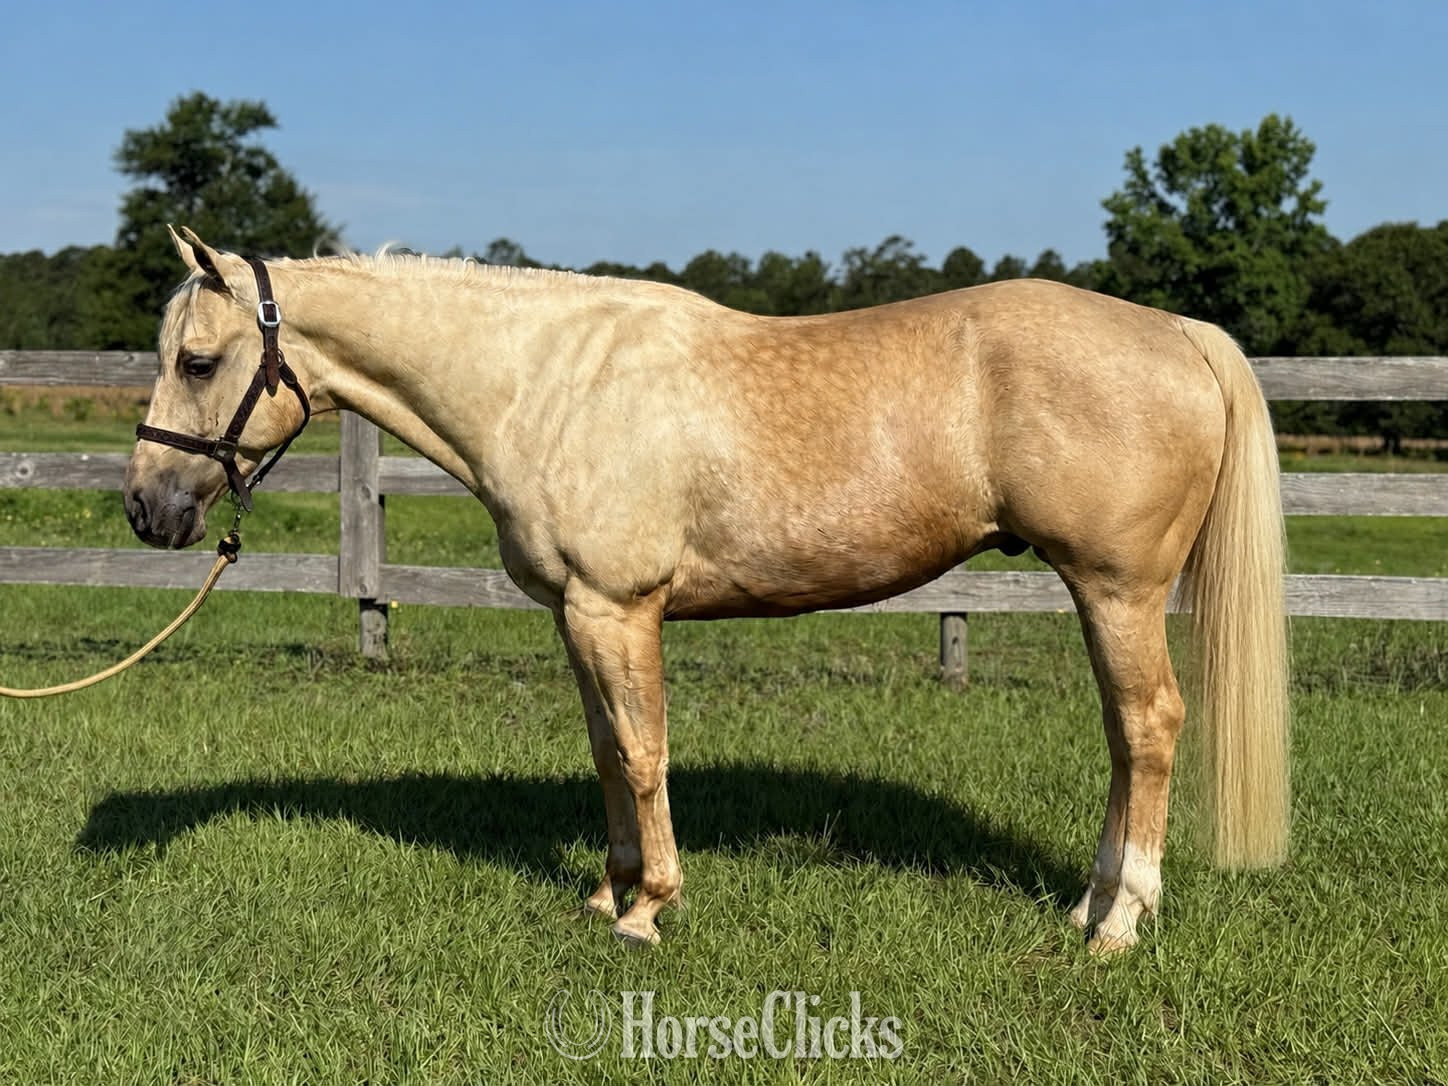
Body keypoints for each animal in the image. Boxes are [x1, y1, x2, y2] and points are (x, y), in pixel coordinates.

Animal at [124, 226, 1288, 953]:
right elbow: (606, 752)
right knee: (1123, 737)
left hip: (1116, 590)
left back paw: (1117, 924)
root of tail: (1175, 333)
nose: (146, 509)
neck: (547, 381)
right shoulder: (576, 614)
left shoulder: (619, 607)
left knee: (1148, 727)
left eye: (196, 361)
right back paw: (1087, 908)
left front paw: (650, 911)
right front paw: (605, 892)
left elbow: (645, 753)